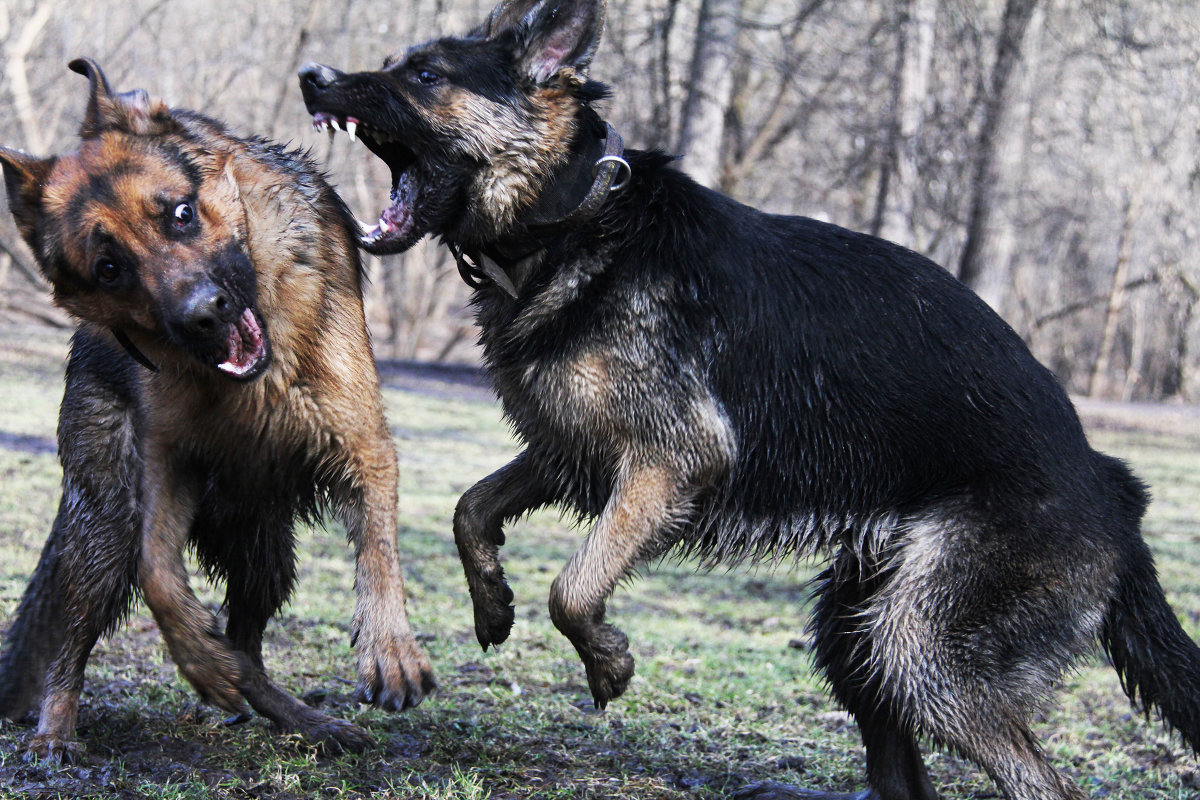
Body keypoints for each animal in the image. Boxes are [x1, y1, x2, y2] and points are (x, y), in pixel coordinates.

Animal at [0, 59, 436, 762]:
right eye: (109, 267)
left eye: (181, 213)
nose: (203, 315)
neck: (252, 391)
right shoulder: (165, 464)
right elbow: (157, 573)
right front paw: (197, 657)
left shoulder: (363, 443)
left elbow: (378, 550)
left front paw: (389, 649)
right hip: (106, 524)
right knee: (78, 636)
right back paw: (57, 729)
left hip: (265, 550)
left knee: (251, 650)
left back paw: (302, 718)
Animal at [302, 1, 1200, 800]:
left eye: (425, 75)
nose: (313, 77)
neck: (577, 214)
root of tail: (1118, 494)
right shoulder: (575, 454)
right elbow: (470, 509)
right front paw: (491, 605)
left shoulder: (668, 464)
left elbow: (575, 587)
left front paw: (607, 659)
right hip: (855, 632)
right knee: (903, 777)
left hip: (919, 650)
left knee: (1040, 783)